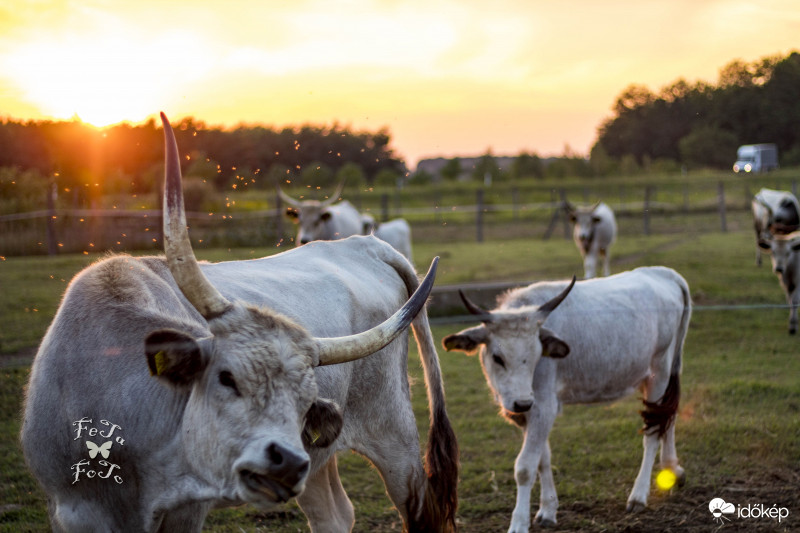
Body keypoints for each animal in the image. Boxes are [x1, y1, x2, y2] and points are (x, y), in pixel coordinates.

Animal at [20, 113, 456, 532]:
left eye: (305, 400)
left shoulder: (185, 510)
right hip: (319, 457)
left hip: (393, 435)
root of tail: (365, 244)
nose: (285, 462)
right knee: (334, 516)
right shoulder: (69, 510)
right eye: (226, 379)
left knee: (421, 511)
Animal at [440, 266, 692, 528]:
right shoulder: (529, 411)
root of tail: (664, 273)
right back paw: (672, 469)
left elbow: (525, 467)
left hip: (659, 371)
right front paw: (548, 509)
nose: (521, 402)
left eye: (537, 355)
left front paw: (519, 523)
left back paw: (639, 495)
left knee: (653, 430)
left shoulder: (543, 405)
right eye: (497, 357)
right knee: (667, 416)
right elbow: (543, 459)